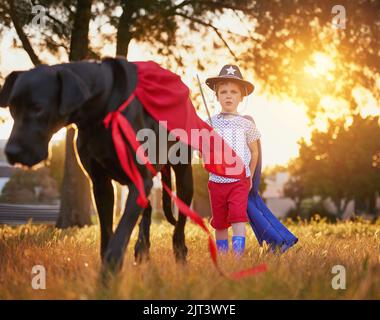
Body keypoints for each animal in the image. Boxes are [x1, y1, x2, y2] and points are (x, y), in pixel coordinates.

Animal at [0, 58, 193, 272]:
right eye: (12, 109)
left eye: (38, 108)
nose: (11, 152)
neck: (102, 104)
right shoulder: (101, 184)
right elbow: (107, 233)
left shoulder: (139, 180)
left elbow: (121, 232)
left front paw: (109, 272)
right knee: (149, 207)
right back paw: (142, 248)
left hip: (183, 177)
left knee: (179, 223)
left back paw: (180, 254)